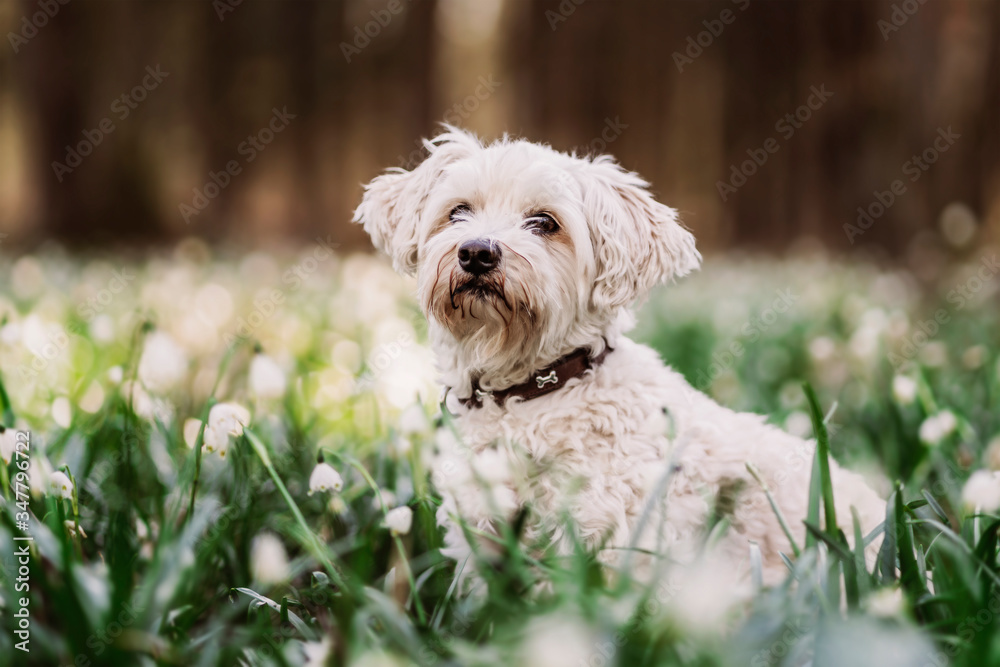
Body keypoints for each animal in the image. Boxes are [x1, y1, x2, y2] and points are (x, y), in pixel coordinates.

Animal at [354, 126, 884, 588]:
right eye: (457, 211)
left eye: (544, 222)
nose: (476, 252)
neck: (531, 397)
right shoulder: (481, 541)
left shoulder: (618, 543)